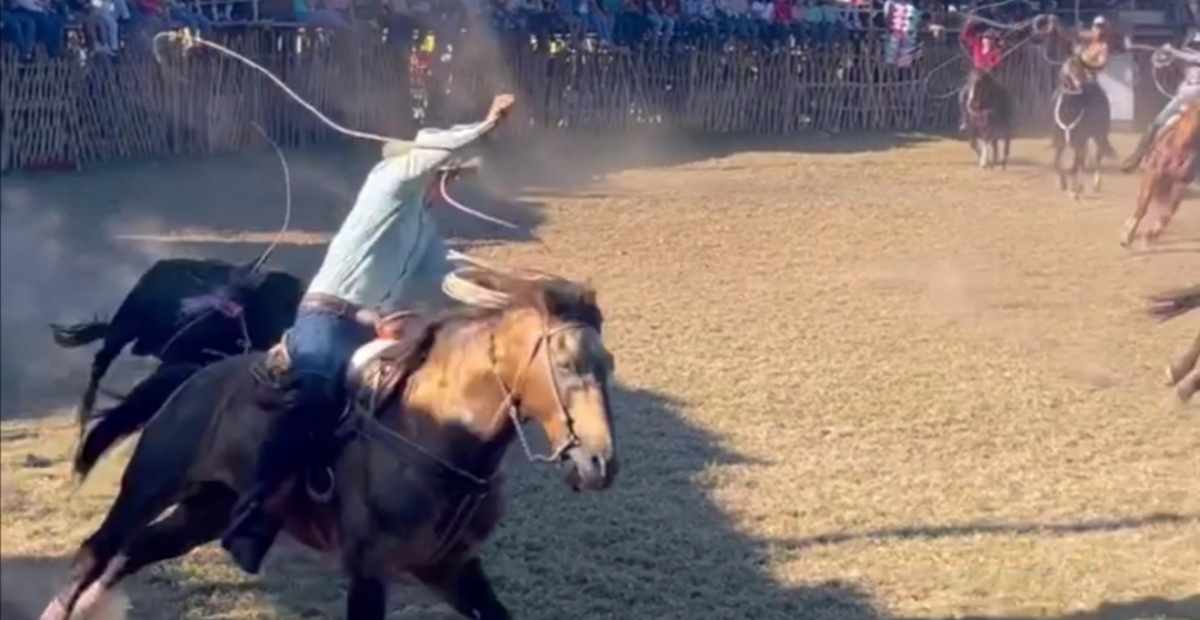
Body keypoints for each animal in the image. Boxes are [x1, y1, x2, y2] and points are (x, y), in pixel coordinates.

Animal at [1118, 101, 1195, 247]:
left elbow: (1168, 213)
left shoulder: (1180, 183)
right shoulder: (1153, 172)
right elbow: (1143, 206)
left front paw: (1151, 235)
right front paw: (1128, 236)